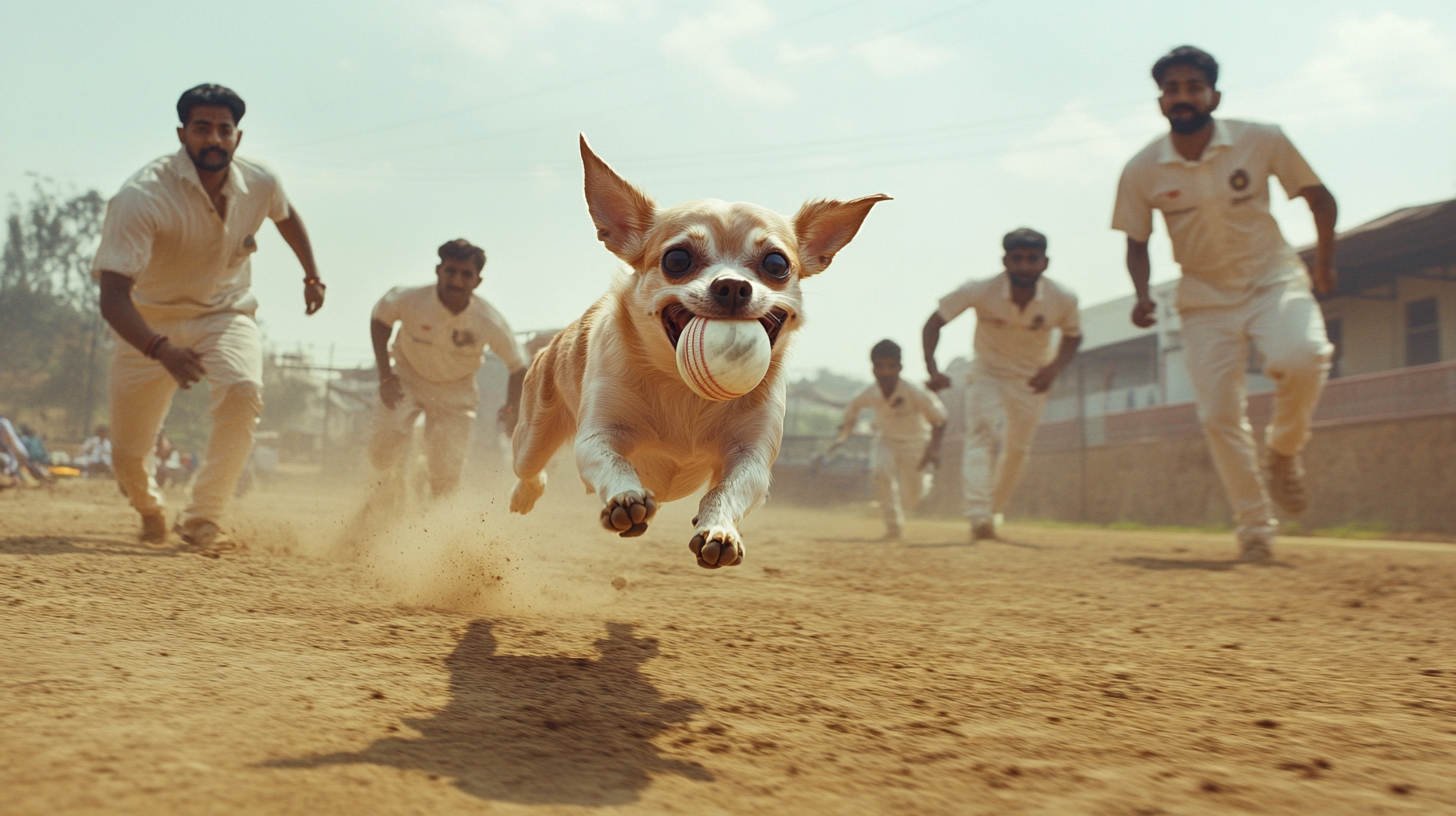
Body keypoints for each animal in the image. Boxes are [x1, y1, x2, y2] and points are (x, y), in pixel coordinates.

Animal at [512, 135, 885, 568]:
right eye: (677, 259)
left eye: (777, 264)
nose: (733, 286)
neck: (687, 393)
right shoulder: (597, 436)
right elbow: (613, 460)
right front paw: (625, 497)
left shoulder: (751, 458)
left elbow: (726, 491)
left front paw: (719, 529)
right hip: (534, 431)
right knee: (528, 466)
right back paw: (527, 493)